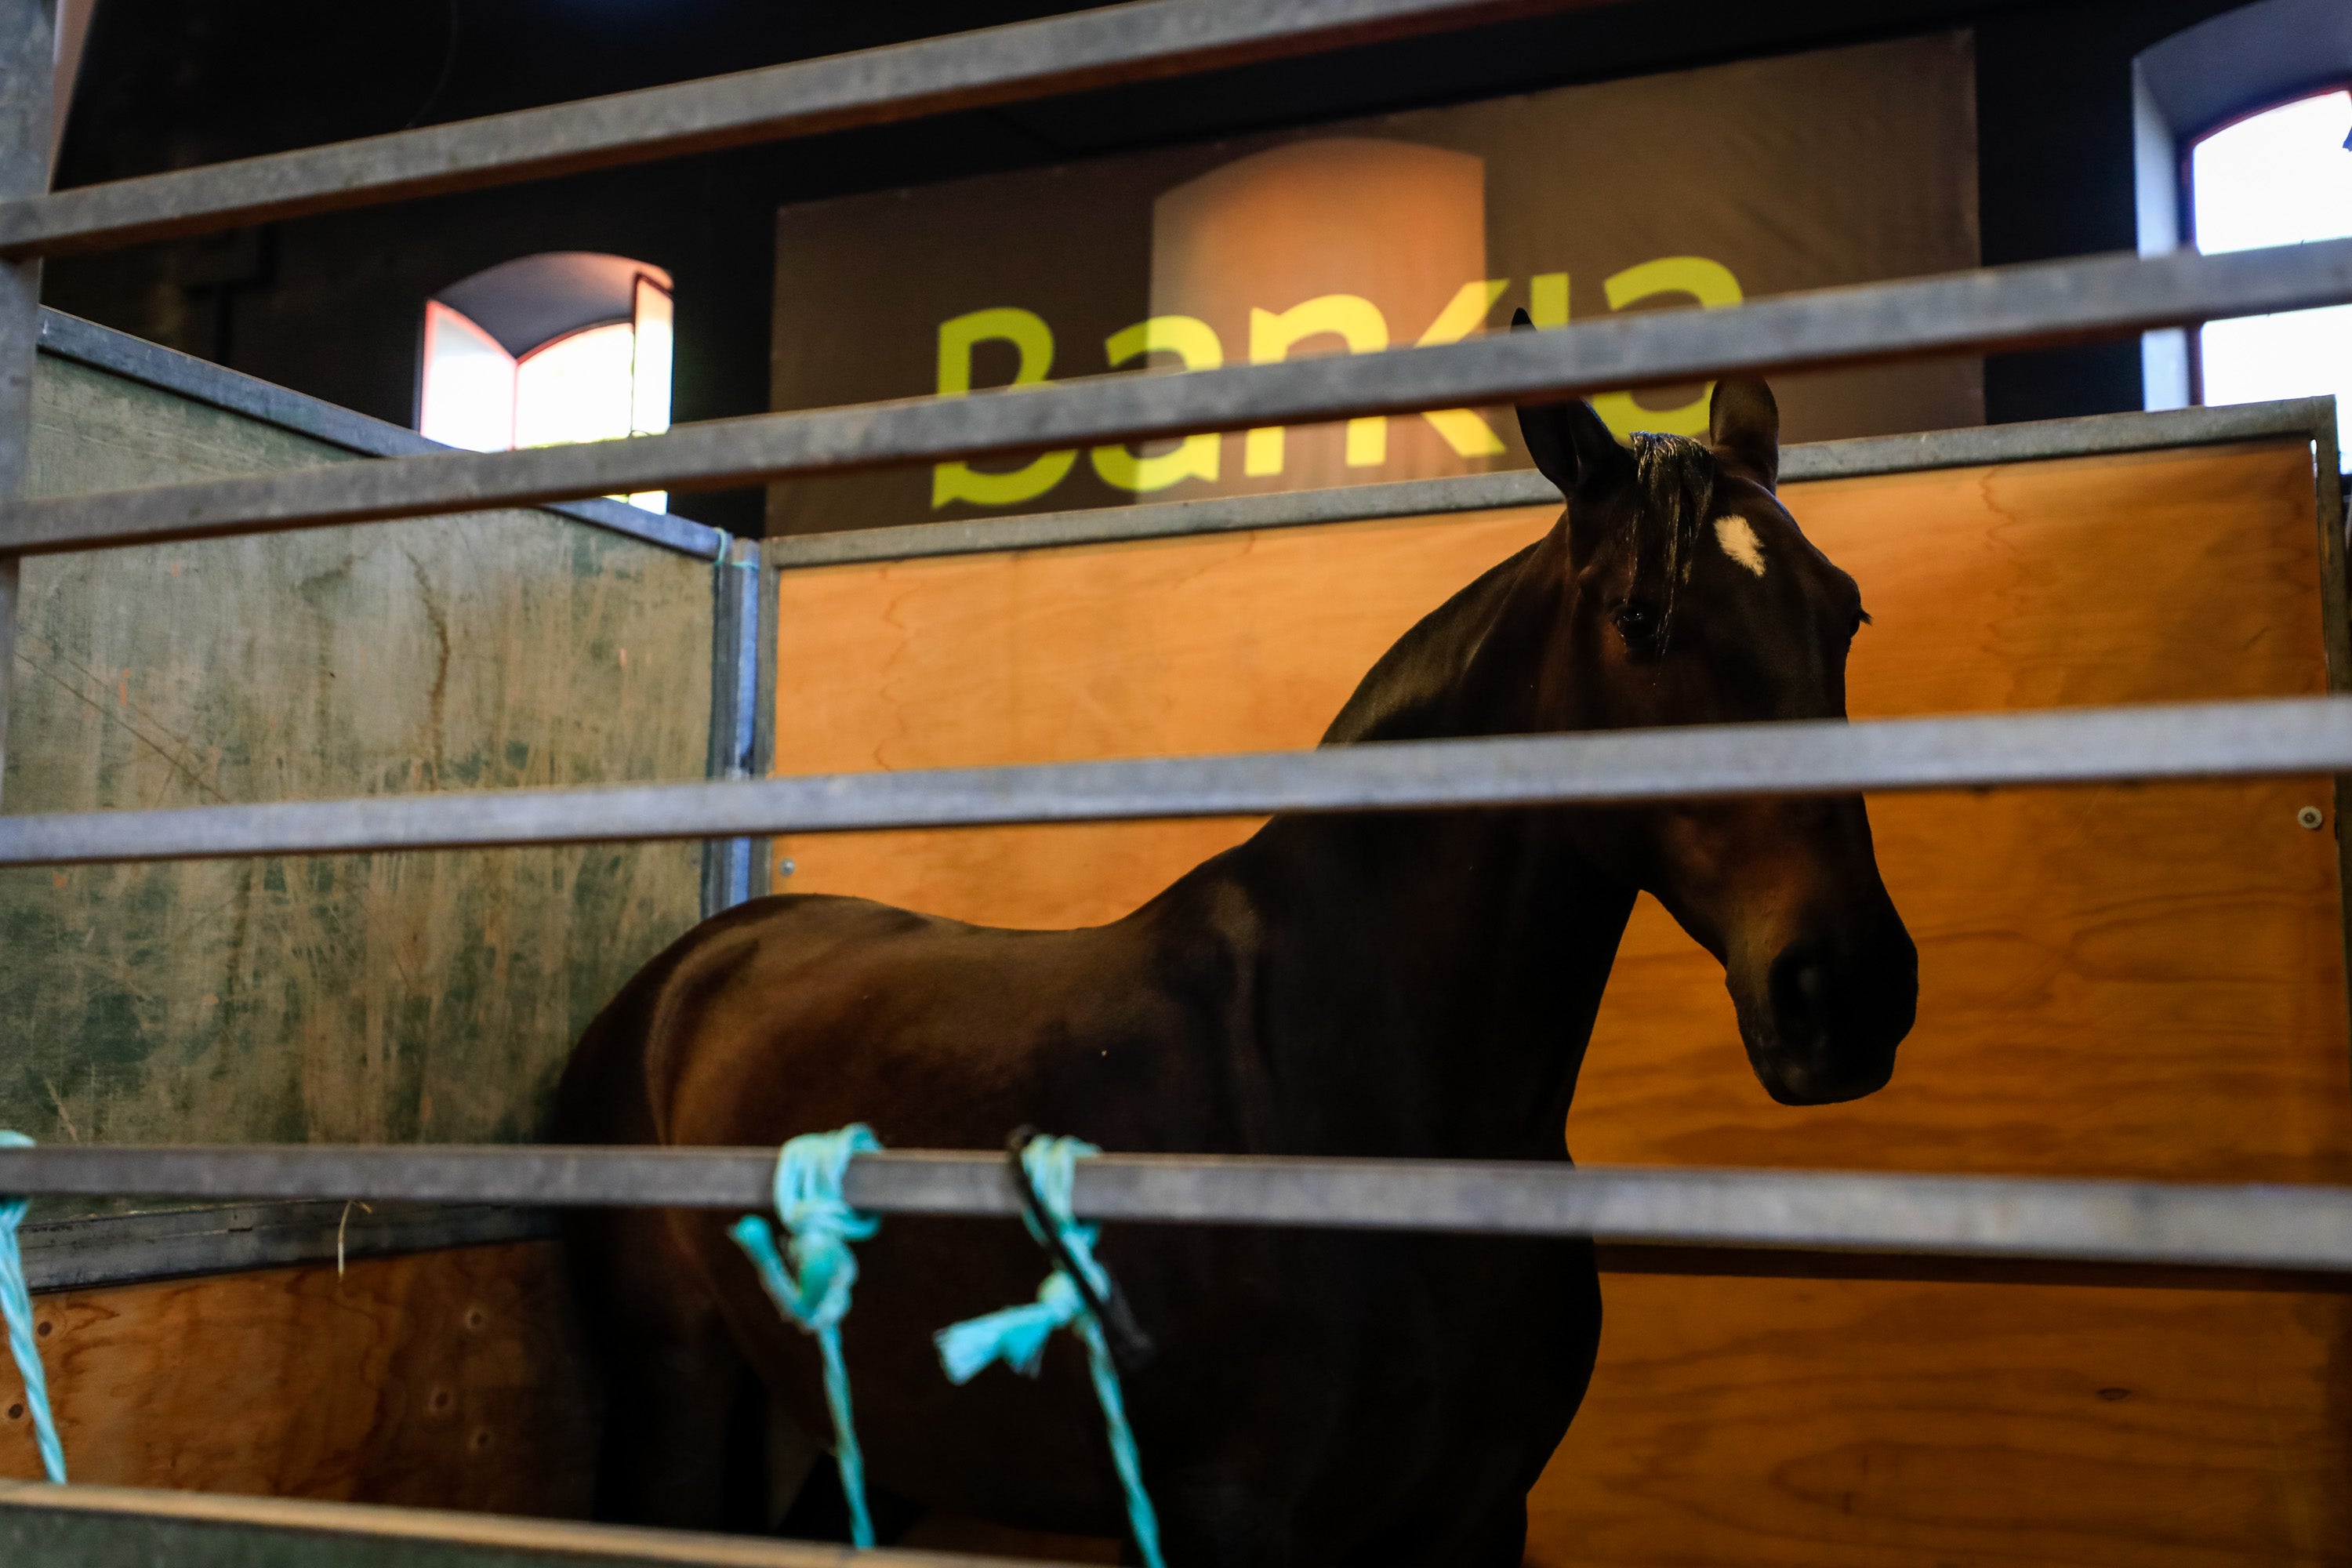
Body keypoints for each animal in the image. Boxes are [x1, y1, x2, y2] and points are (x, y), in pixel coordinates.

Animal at [560, 371, 1919, 1568]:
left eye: (1847, 611)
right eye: (1640, 619)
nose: (1846, 990)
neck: (1365, 1100)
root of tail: (694, 966)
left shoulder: (1478, 1518)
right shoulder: (1215, 1514)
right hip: (679, 1392)